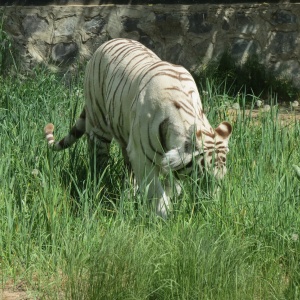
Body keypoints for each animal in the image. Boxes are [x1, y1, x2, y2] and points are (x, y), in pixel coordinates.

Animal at [44, 38, 232, 219]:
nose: (211, 205)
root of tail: (108, 42)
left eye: (221, 180)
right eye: (205, 178)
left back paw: (130, 194)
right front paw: (164, 217)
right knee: (98, 161)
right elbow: (157, 193)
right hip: (99, 125)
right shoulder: (142, 157)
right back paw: (99, 186)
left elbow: (171, 185)